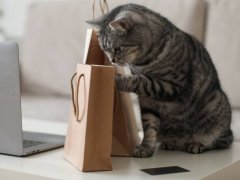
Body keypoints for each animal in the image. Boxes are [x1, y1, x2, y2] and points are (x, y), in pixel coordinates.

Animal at [87, 3, 232, 157]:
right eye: (105, 49)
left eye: (117, 48)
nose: (112, 60)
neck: (143, 63)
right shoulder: (147, 100)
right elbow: (149, 125)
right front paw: (145, 148)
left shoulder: (172, 84)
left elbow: (140, 81)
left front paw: (118, 79)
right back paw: (170, 143)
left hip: (216, 104)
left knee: (221, 141)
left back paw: (197, 144)